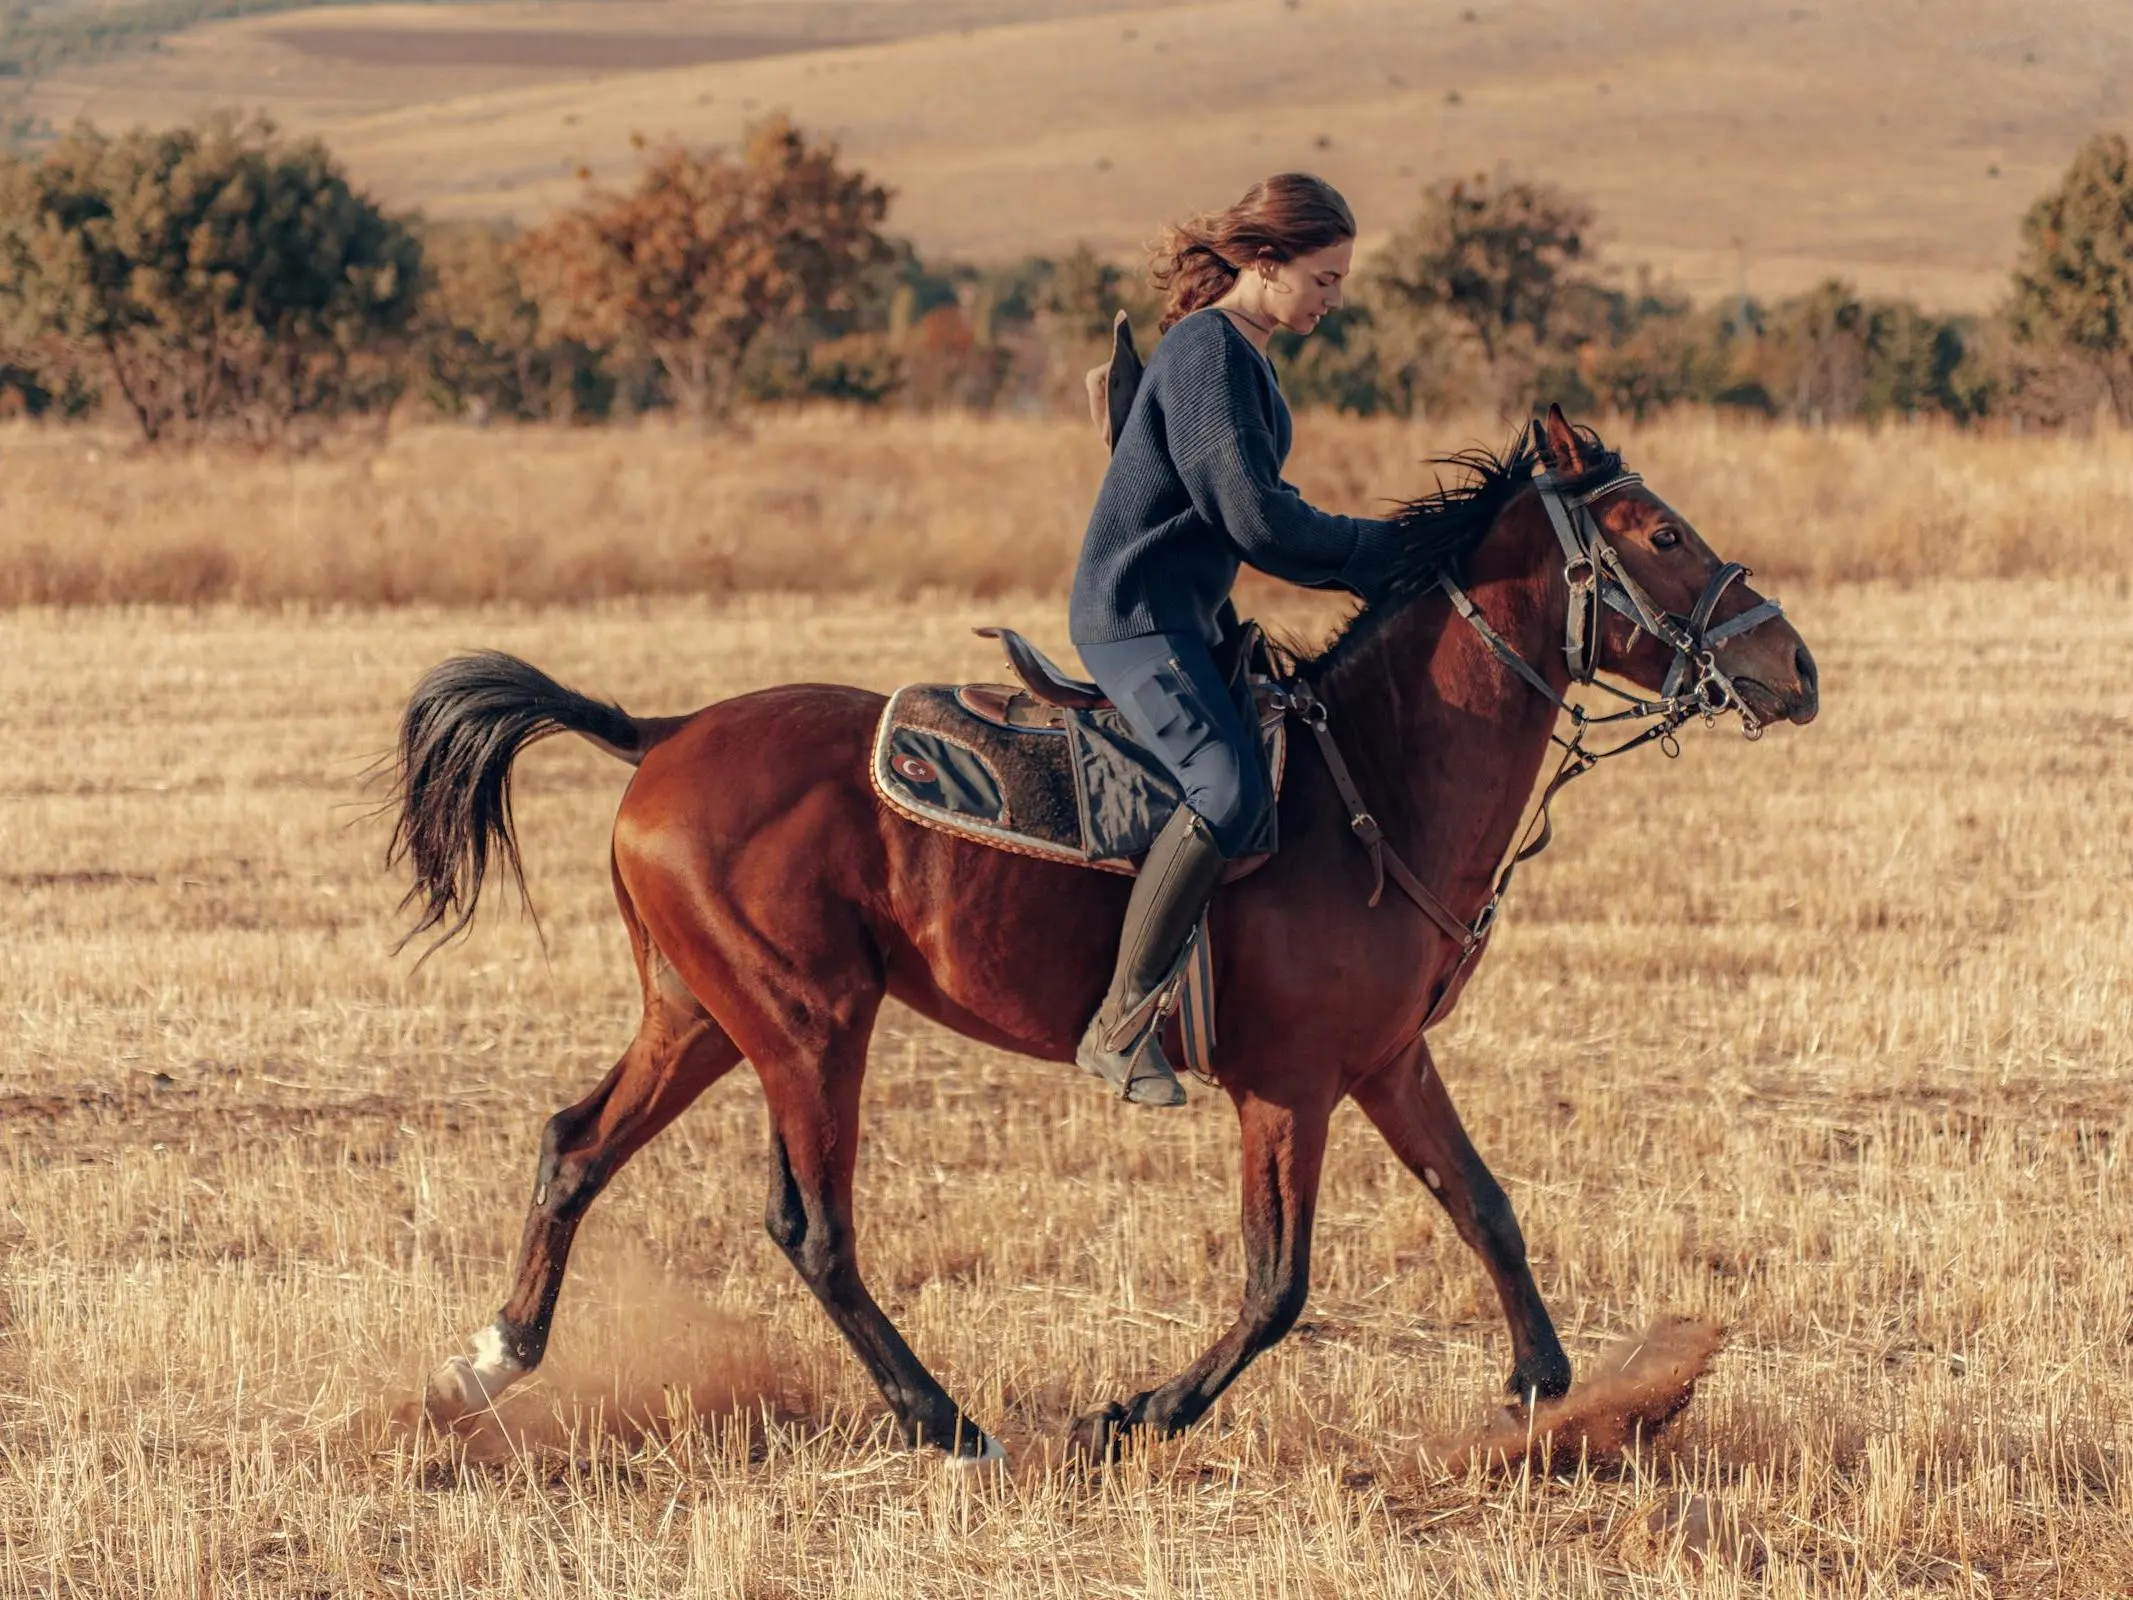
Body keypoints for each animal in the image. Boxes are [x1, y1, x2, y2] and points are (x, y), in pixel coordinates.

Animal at [388, 403, 1817, 1467]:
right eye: (1661, 531)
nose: (1794, 667)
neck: (1376, 776)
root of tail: (666, 732)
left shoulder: (1386, 1062)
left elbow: (1486, 1208)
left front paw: (1556, 1395)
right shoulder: (1290, 1086)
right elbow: (1277, 1283)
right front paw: (1132, 1414)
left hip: (700, 1016)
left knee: (576, 1147)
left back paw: (485, 1367)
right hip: (807, 1025)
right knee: (813, 1228)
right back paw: (948, 1422)